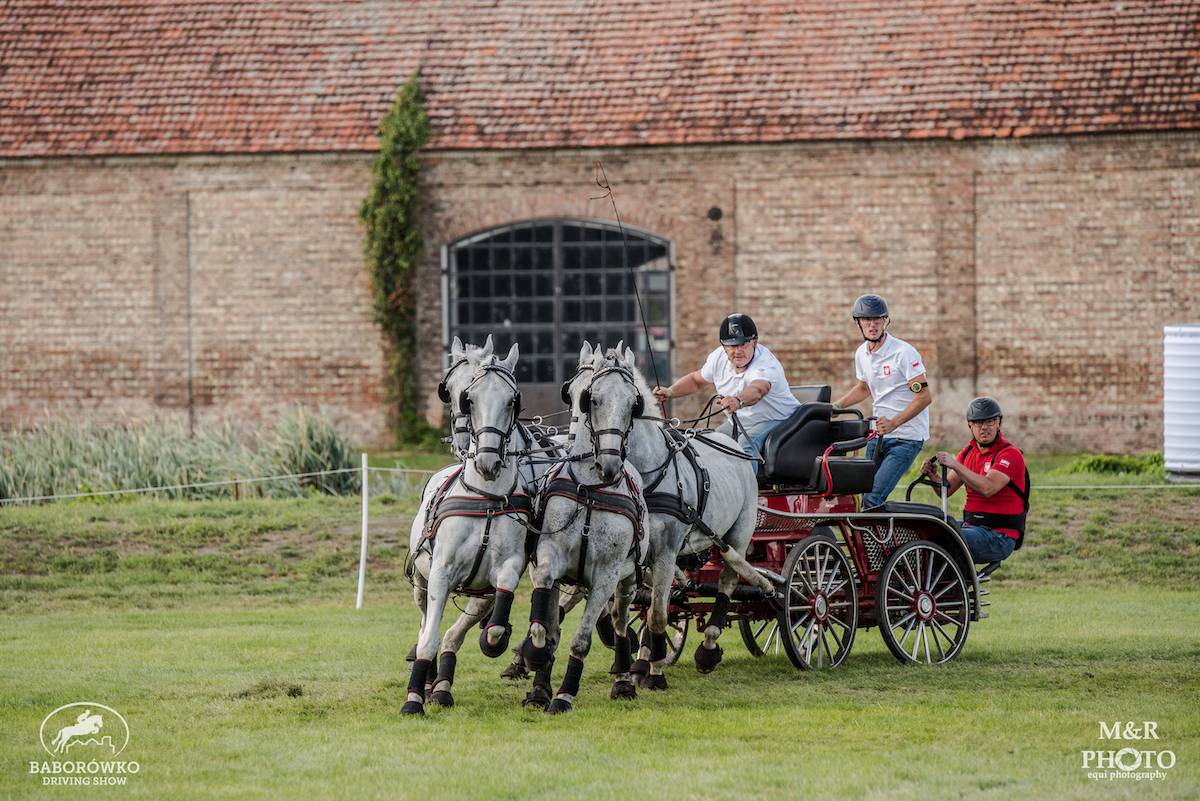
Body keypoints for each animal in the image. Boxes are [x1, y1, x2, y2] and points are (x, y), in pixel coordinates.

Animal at [402, 341, 535, 715]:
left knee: (455, 634)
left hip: (479, 594)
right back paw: (428, 679)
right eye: (467, 399)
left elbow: (495, 626)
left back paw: (443, 687)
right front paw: (413, 699)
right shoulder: (441, 573)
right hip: (421, 582)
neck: (486, 496)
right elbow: (428, 637)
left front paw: (495, 641)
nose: (487, 461)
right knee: (425, 626)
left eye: (512, 400)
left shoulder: (509, 569)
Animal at [519, 346, 650, 713]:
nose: (610, 465)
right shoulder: (548, 558)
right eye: (591, 398)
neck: (591, 488)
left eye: (634, 403)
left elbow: (581, 640)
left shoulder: (606, 574)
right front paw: (536, 660)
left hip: (627, 580)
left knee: (619, 621)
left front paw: (564, 694)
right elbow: (545, 626)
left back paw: (623, 678)